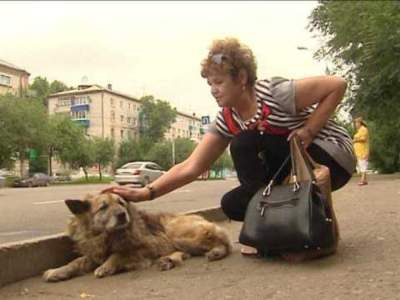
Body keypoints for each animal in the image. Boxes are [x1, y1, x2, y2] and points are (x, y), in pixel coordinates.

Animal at [43, 192, 231, 282]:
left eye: (121, 203)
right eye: (103, 207)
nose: (122, 215)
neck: (108, 235)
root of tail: (200, 217)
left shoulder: (146, 248)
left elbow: (118, 254)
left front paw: (106, 266)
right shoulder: (94, 254)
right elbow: (75, 262)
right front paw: (57, 271)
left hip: (177, 235)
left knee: (225, 242)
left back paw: (217, 252)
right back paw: (167, 261)